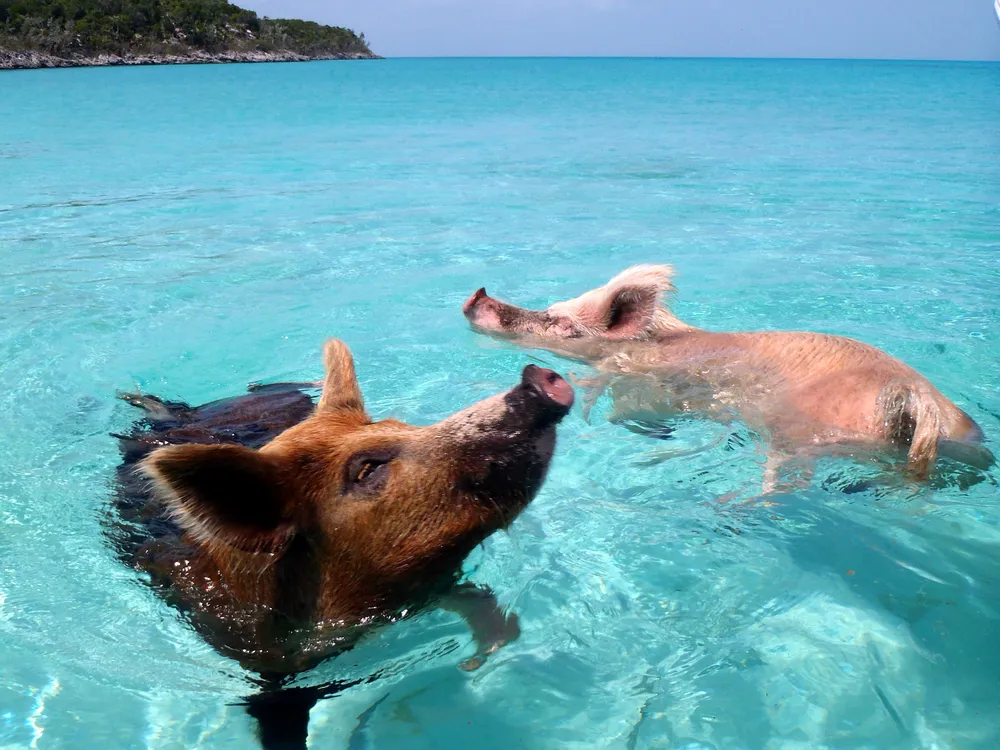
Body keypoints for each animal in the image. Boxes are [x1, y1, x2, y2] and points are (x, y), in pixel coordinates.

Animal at [462, 266, 992, 494]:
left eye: (558, 321)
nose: (476, 295)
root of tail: (916, 399)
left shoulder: (638, 381)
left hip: (796, 432)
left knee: (785, 485)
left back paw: (729, 506)